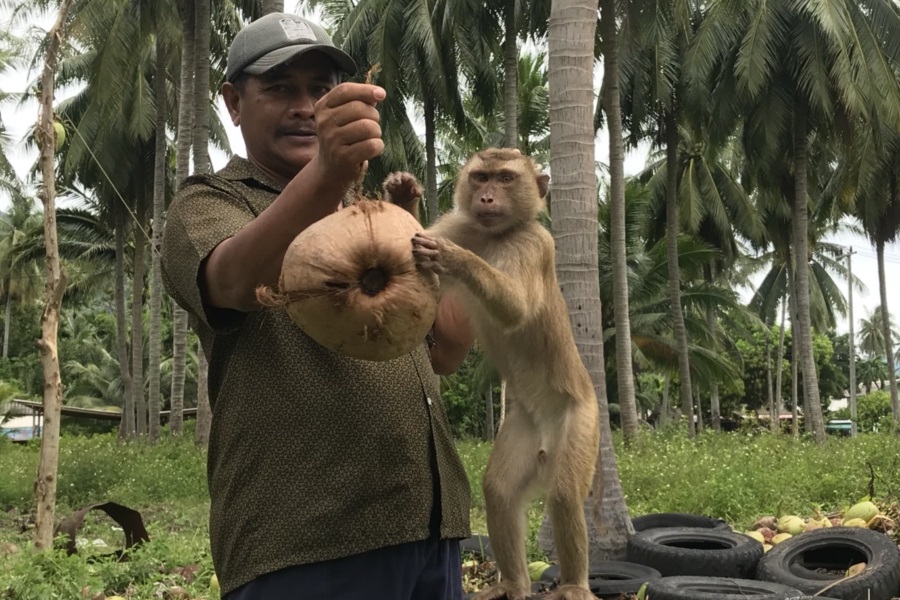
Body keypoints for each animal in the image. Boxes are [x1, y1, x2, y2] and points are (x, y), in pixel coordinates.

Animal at [412, 149, 600, 600]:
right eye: (481, 177)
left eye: (505, 178)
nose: (487, 197)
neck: (494, 236)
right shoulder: (460, 223)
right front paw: (398, 192)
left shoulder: (533, 242)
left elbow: (515, 308)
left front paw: (452, 257)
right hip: (523, 427)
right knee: (499, 491)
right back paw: (514, 582)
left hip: (581, 419)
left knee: (564, 494)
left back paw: (573, 585)